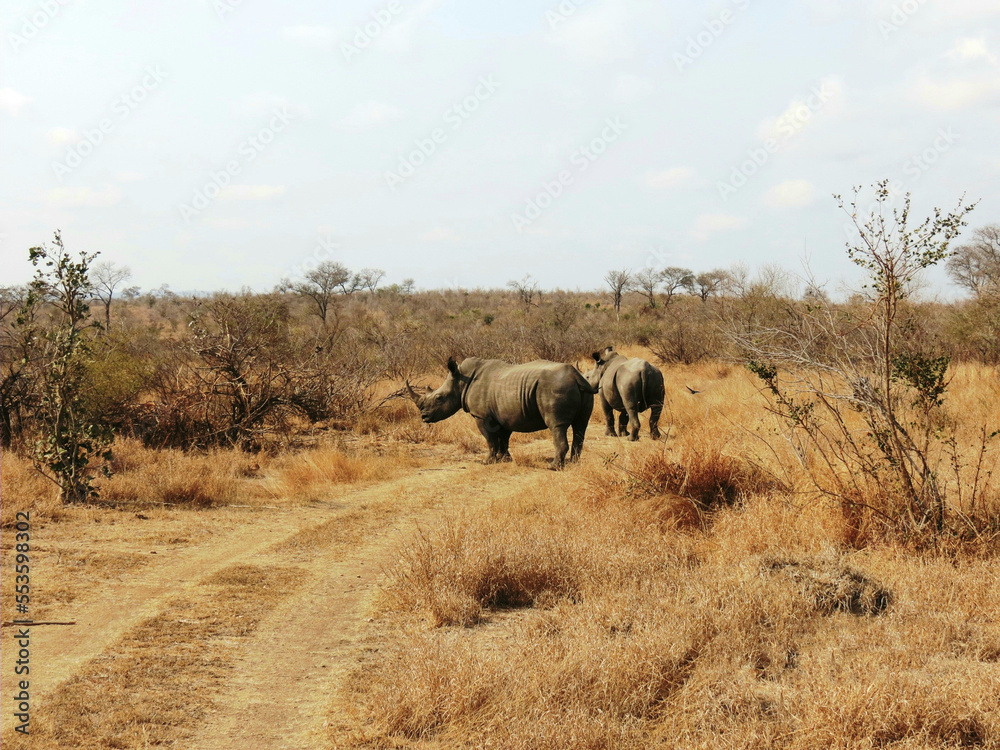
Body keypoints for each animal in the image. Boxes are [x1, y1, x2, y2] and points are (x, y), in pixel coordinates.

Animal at [406, 356, 592, 470]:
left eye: (439, 398)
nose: (424, 417)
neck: (461, 380)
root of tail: (576, 377)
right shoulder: (505, 414)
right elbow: (503, 438)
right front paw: (505, 459)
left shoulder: (481, 416)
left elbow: (490, 439)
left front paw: (487, 461)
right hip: (584, 388)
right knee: (581, 426)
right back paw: (574, 464)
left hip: (555, 388)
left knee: (556, 426)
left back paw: (553, 467)